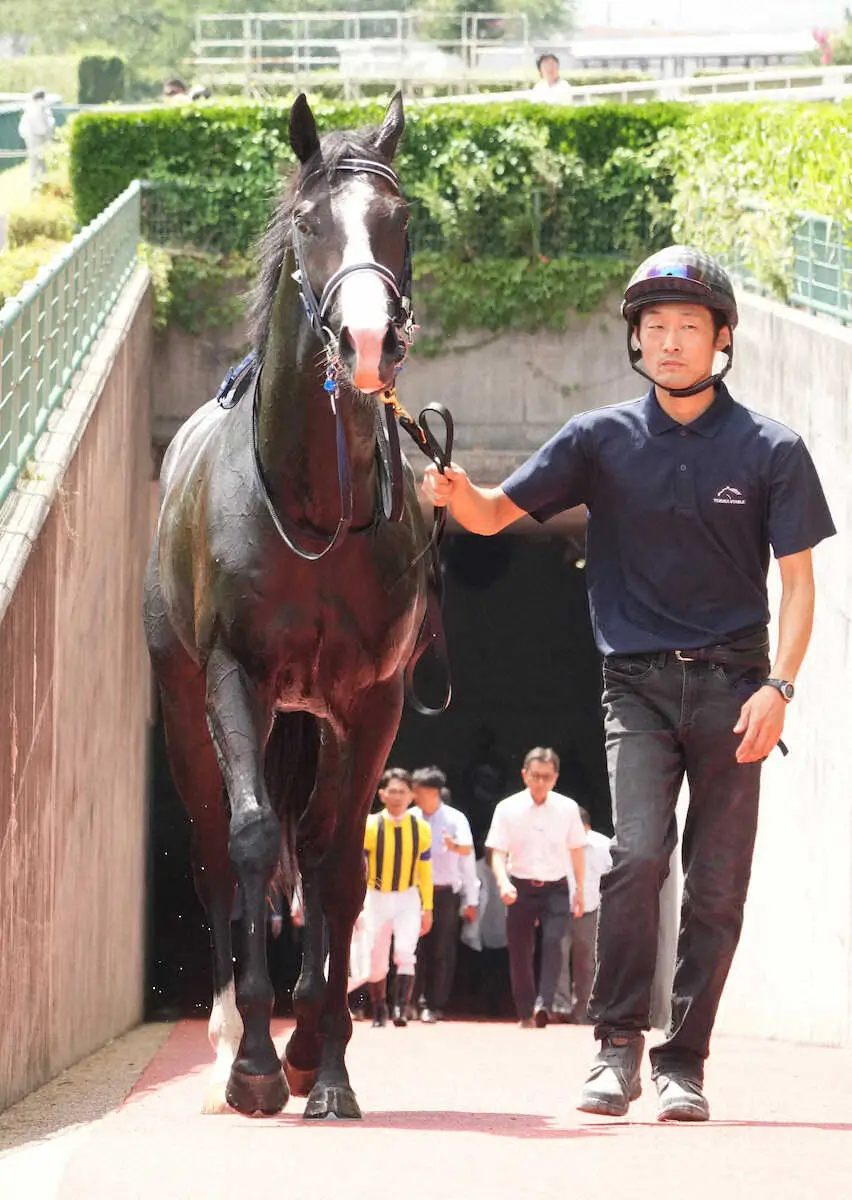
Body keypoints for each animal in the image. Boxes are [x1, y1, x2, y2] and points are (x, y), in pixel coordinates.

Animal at [143, 91, 434, 1113]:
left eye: (399, 218)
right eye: (311, 223)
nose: (367, 341)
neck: (313, 507)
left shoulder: (370, 697)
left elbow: (338, 862)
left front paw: (323, 1057)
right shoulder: (237, 675)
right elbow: (252, 838)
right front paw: (259, 1063)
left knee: (310, 847)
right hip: (185, 702)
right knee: (216, 854)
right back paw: (232, 1039)